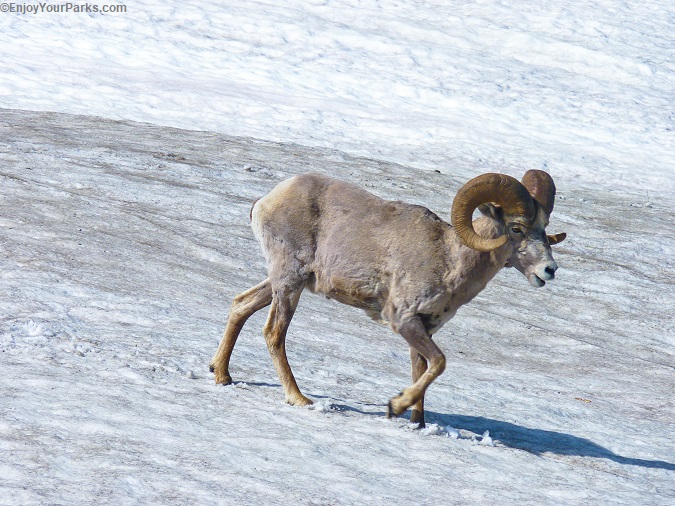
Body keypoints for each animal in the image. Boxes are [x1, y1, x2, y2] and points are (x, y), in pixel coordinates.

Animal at [210, 171, 564, 426]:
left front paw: (417, 423)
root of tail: (266, 200)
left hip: (283, 282)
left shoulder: (424, 329)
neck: (450, 259)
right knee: (274, 333)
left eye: (544, 227)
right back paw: (299, 398)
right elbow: (439, 363)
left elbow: (421, 370)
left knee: (241, 304)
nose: (549, 270)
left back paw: (222, 375)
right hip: (289, 282)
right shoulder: (403, 320)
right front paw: (395, 406)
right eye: (516, 228)